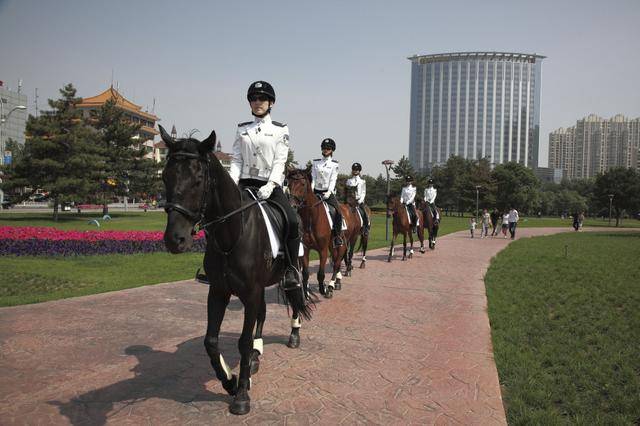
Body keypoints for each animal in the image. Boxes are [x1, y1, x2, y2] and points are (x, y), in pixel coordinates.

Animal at [159, 126, 312, 416]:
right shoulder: (219, 292)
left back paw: (293, 335)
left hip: (296, 269)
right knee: (262, 315)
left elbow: (242, 341)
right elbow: (210, 341)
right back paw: (256, 356)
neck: (232, 234)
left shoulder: (250, 292)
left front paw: (241, 395)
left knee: (297, 296)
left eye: (198, 180)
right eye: (165, 177)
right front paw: (230, 381)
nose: (175, 239)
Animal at [288, 166, 352, 296]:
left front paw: (323, 289)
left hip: (341, 244)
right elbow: (305, 273)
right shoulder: (305, 250)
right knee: (336, 262)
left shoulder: (323, 250)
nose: (292, 206)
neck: (312, 219)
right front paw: (306, 293)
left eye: (302, 184)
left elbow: (321, 274)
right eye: (289, 184)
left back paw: (331, 286)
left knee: (337, 263)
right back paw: (337, 282)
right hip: (332, 246)